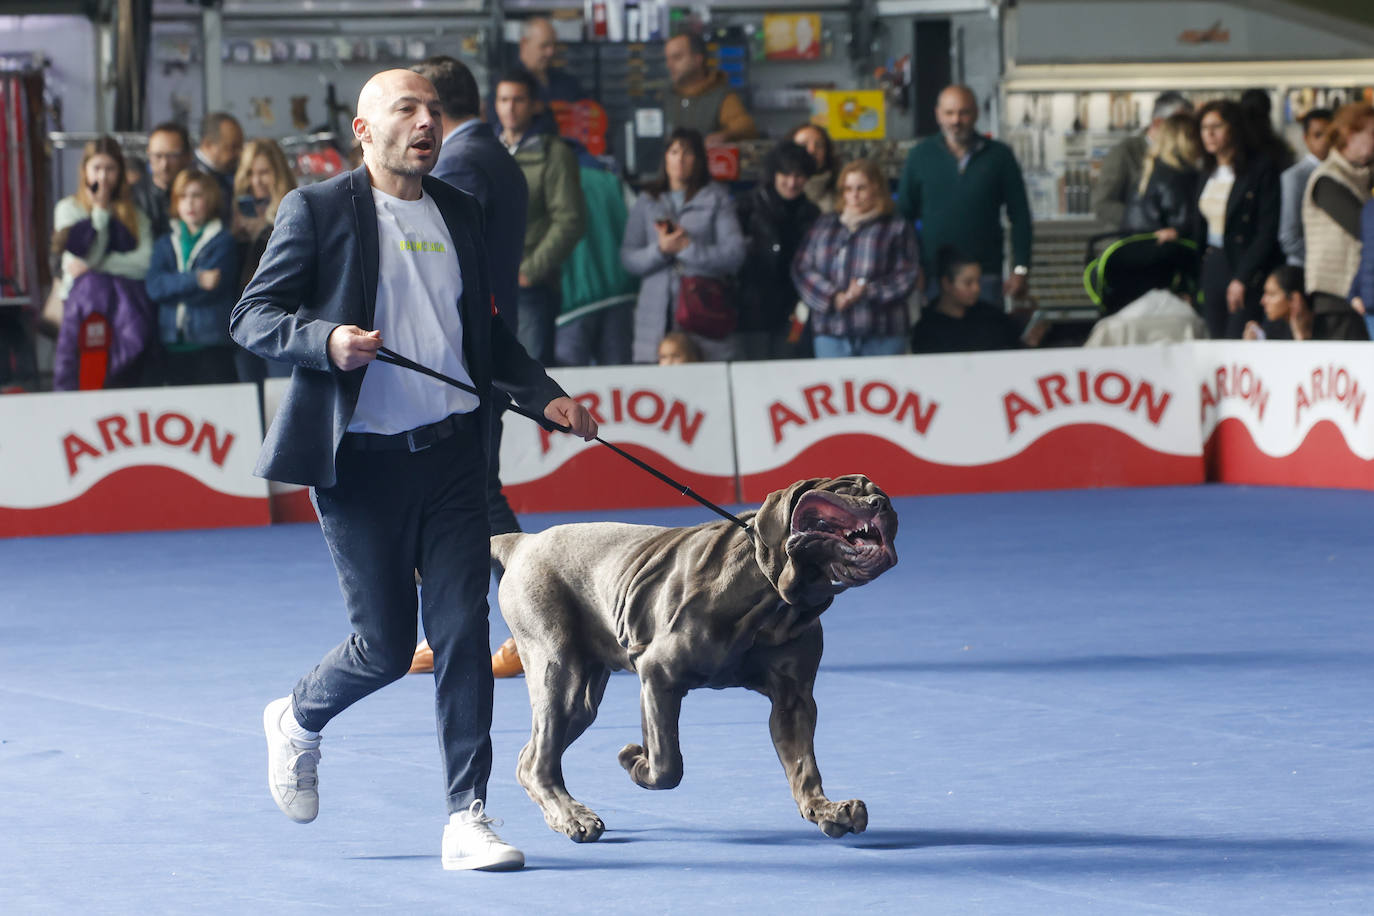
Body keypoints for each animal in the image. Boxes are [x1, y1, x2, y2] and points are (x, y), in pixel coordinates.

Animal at [494, 477, 901, 840]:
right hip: (559, 673)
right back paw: (571, 816)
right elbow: (666, 764)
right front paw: (635, 762)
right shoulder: (658, 676)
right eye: (846, 488)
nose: (883, 504)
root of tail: (522, 541)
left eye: (880, 495)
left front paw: (824, 809)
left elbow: (803, 765)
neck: (772, 595)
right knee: (541, 759)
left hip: (581, 698)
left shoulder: (793, 699)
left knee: (530, 758)